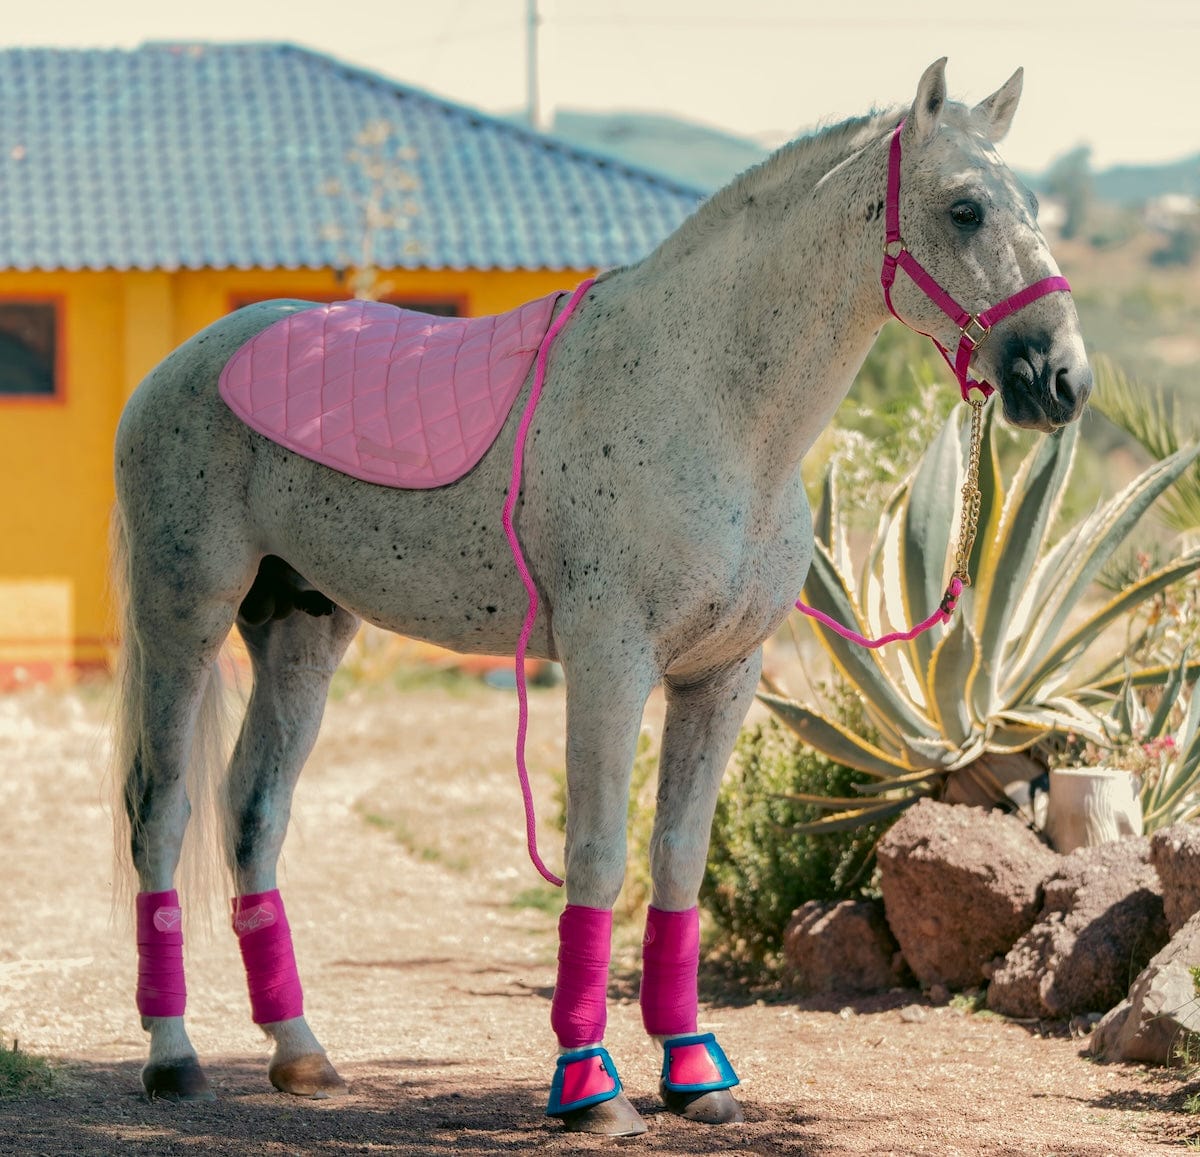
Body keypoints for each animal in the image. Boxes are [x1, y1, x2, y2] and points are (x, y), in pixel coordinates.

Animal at [110, 59, 1091, 1136]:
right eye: (964, 208)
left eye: (1031, 205)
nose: (1062, 379)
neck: (707, 402)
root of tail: (184, 362)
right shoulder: (611, 662)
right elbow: (597, 859)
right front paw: (590, 1086)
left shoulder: (722, 678)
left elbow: (678, 861)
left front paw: (694, 1071)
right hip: (186, 616)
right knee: (162, 810)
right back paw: (172, 1056)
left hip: (302, 628)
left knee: (254, 811)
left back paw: (300, 1053)